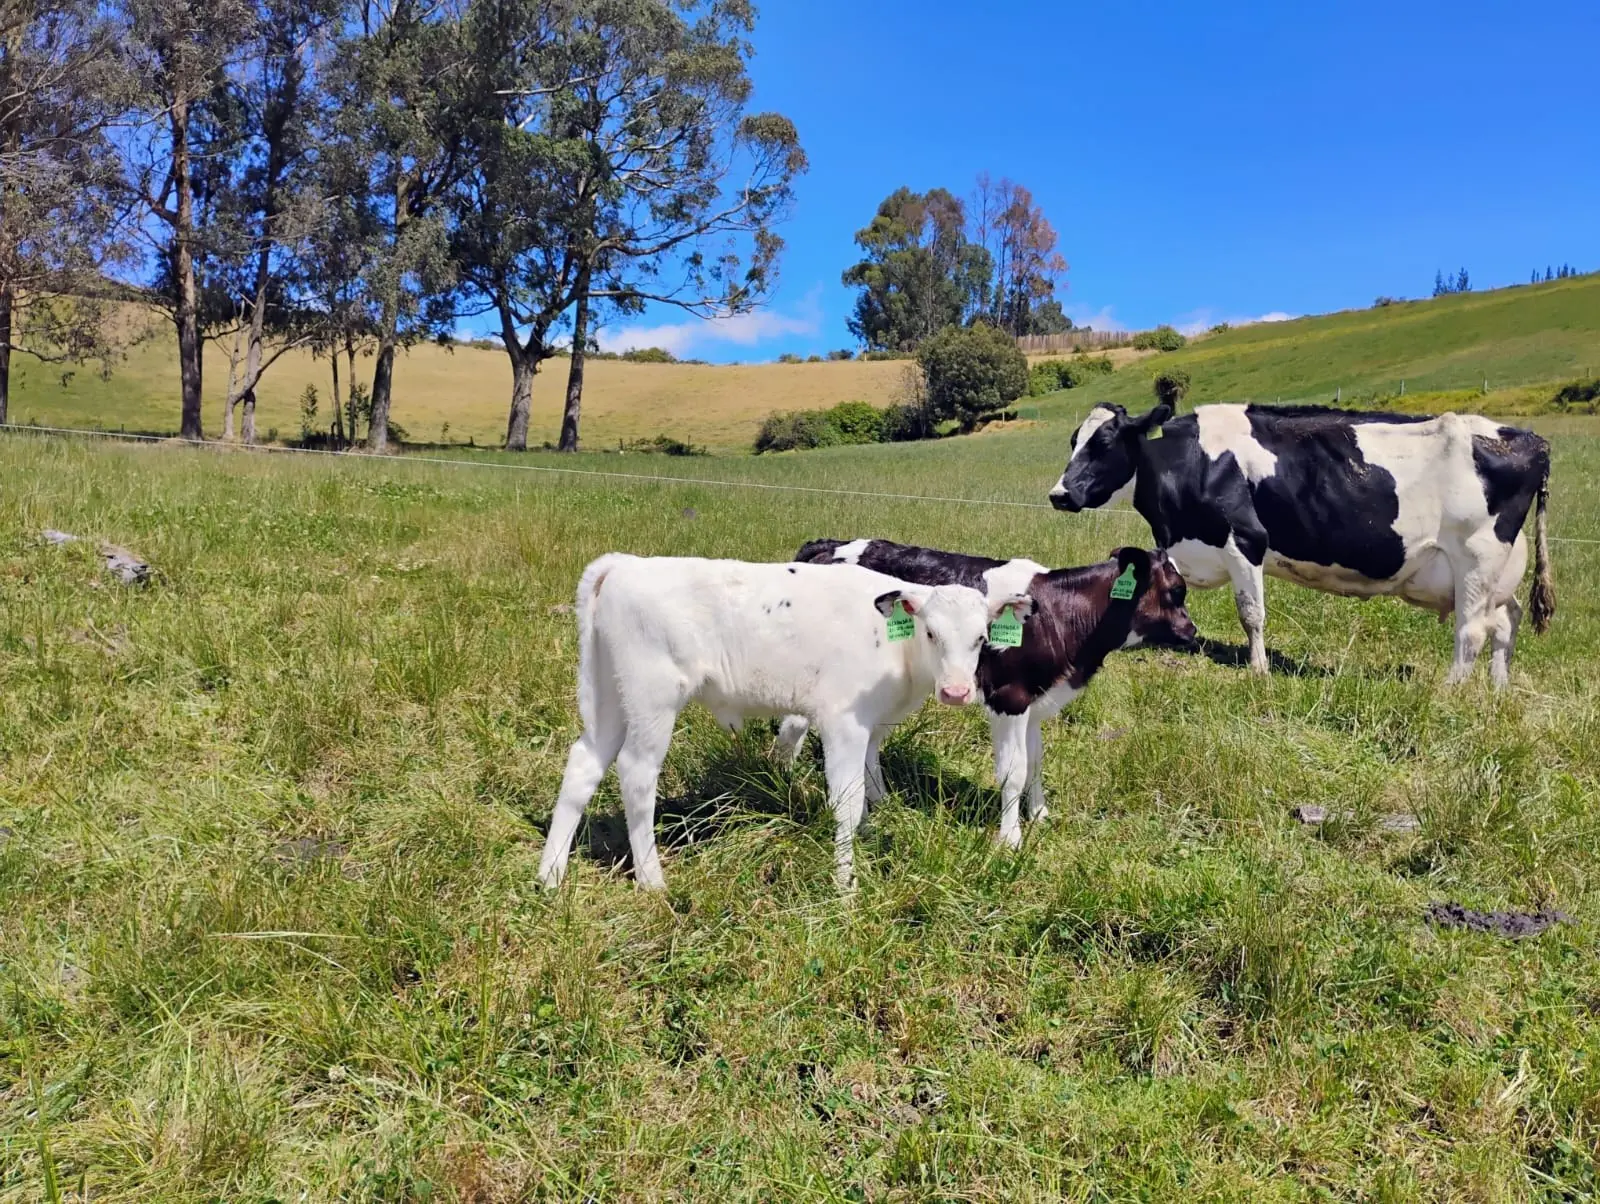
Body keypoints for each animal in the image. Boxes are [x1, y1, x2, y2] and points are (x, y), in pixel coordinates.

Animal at [536, 554, 1033, 892]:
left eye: (981, 638)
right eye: (931, 633)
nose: (957, 692)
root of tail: (626, 564)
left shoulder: (873, 725)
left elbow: (872, 782)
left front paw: (872, 831)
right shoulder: (843, 723)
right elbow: (848, 801)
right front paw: (845, 884)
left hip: (610, 696)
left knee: (583, 765)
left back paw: (551, 875)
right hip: (651, 698)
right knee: (637, 775)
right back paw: (652, 880)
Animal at [789, 540, 1197, 848]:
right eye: (1176, 591)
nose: (1192, 631)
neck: (1058, 613)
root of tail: (824, 545)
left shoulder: (1034, 702)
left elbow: (1035, 762)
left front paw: (1039, 814)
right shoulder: (1009, 698)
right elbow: (1012, 771)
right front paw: (1011, 838)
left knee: (871, 740)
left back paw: (880, 799)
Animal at [1048, 402, 1554, 687]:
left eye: (1104, 442)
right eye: (1073, 440)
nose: (1059, 494)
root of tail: (1529, 438)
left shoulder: (1245, 540)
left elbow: (1251, 614)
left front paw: (1258, 671)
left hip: (1476, 557)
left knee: (1472, 631)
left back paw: (1449, 691)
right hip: (1500, 569)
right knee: (1505, 622)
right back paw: (1498, 687)